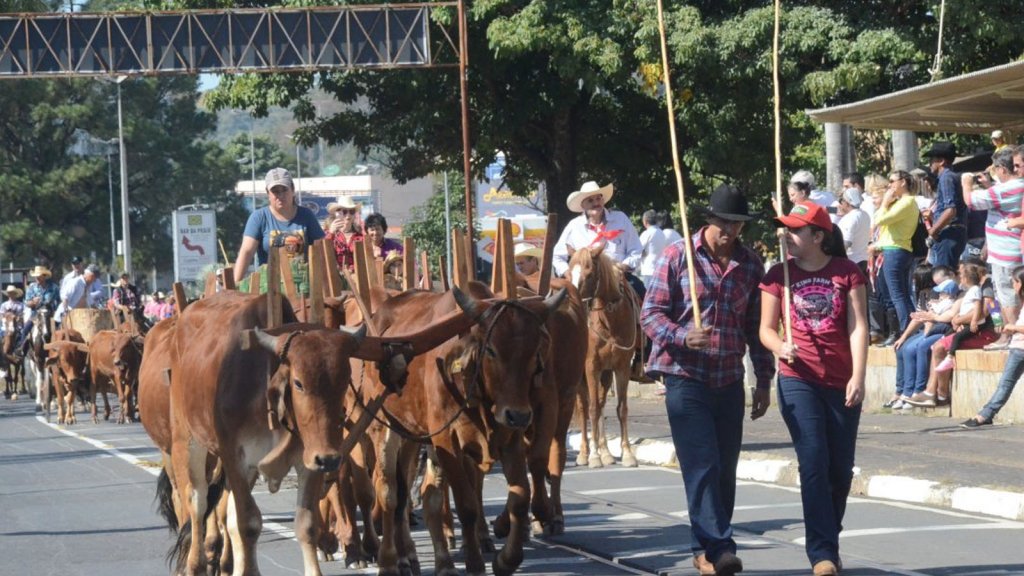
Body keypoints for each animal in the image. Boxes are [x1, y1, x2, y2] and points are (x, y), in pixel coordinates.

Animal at [565, 242, 634, 467]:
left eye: (588, 274)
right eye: (568, 273)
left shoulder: (621, 367)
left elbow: (621, 408)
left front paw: (627, 453)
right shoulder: (590, 366)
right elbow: (592, 409)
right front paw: (593, 456)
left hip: (605, 373)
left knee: (602, 404)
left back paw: (606, 452)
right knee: (584, 407)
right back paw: (585, 453)